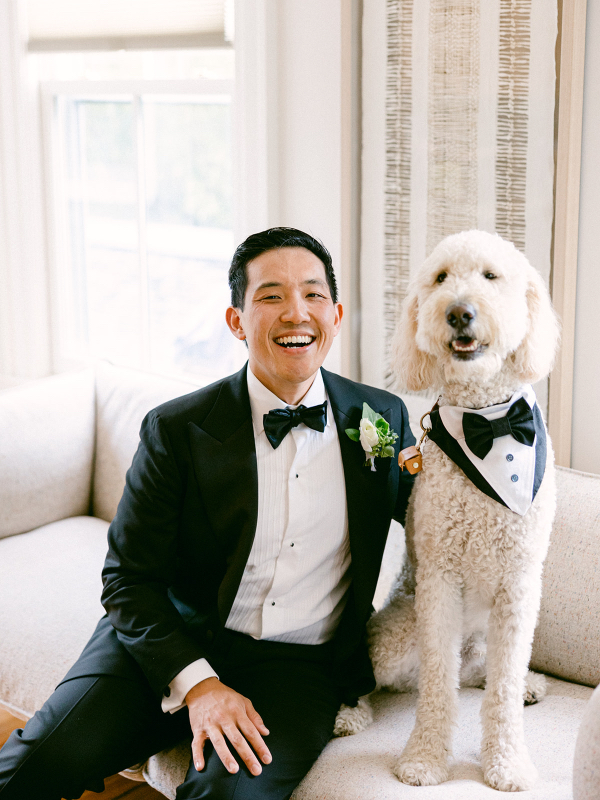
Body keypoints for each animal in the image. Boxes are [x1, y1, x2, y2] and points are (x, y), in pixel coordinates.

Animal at [336, 228, 560, 792]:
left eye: (490, 276)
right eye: (440, 279)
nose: (459, 312)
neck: (489, 422)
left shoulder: (519, 586)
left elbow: (502, 690)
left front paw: (507, 761)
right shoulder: (439, 581)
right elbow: (440, 686)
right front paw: (424, 759)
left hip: (483, 637)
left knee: (480, 673)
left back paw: (530, 684)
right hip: (398, 634)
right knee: (379, 675)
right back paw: (350, 713)